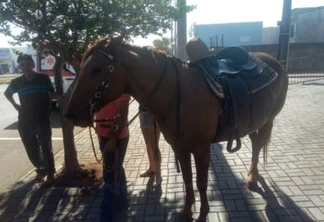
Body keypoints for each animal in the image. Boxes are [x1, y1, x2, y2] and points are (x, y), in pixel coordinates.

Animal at [64, 35, 288, 221]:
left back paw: (252, 179)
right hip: (254, 122)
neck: (175, 93)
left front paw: (203, 213)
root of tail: (275, 63)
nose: (70, 113)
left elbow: (201, 182)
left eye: (96, 69)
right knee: (256, 143)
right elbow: (188, 180)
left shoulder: (201, 148)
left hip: (268, 121)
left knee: (258, 145)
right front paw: (187, 210)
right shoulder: (180, 148)